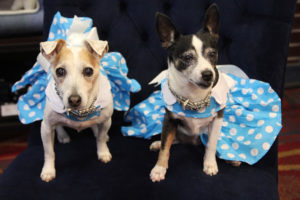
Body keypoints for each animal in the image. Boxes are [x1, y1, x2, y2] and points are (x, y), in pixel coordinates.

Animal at [149, 3, 240, 182]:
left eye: (213, 54)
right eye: (187, 58)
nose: (208, 74)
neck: (194, 97)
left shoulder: (217, 120)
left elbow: (211, 144)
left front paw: (210, 164)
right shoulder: (170, 120)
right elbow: (165, 146)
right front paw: (159, 168)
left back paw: (231, 159)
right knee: (170, 140)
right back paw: (157, 143)